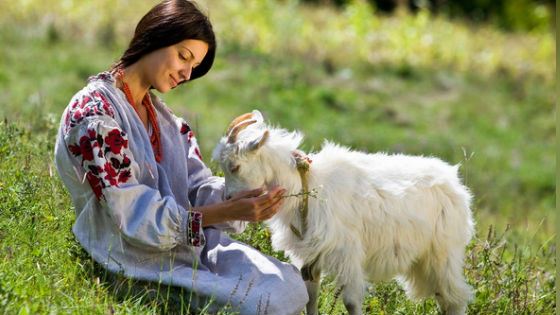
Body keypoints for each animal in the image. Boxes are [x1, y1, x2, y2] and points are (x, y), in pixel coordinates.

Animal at [212, 111, 474, 315]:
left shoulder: (345, 252)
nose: (228, 199)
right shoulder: (310, 256)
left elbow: (351, 302)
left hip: (443, 252)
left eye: (235, 166)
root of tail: (454, 181)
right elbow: (311, 297)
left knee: (454, 298)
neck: (307, 186)